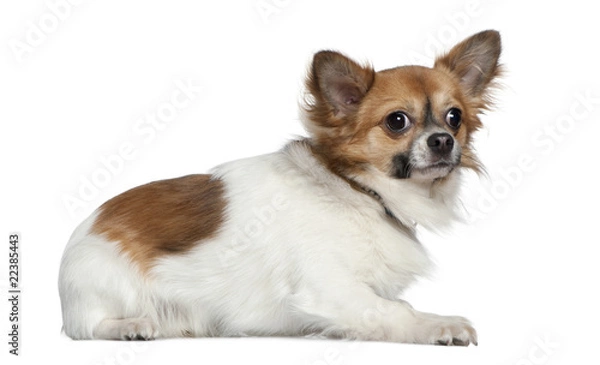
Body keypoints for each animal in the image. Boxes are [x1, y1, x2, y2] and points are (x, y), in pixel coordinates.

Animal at [59, 29, 502, 344]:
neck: (362, 192)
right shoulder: (330, 289)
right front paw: (440, 325)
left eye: (454, 117)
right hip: (100, 285)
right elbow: (399, 310)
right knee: (89, 327)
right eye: (397, 121)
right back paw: (128, 326)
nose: (443, 141)